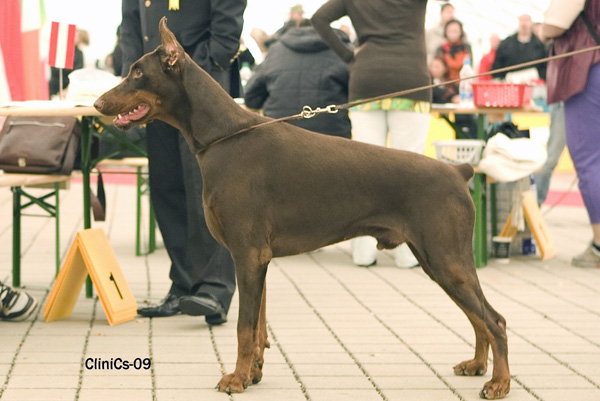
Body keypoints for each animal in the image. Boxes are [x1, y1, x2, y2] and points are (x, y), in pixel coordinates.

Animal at [94, 18, 510, 400]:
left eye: (137, 72)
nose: (97, 104)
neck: (222, 136)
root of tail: (458, 170)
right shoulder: (258, 259)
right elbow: (258, 325)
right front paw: (254, 373)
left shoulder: (247, 254)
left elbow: (244, 327)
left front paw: (236, 379)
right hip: (438, 261)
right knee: (478, 318)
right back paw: (476, 365)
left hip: (446, 259)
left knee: (495, 320)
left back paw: (499, 383)